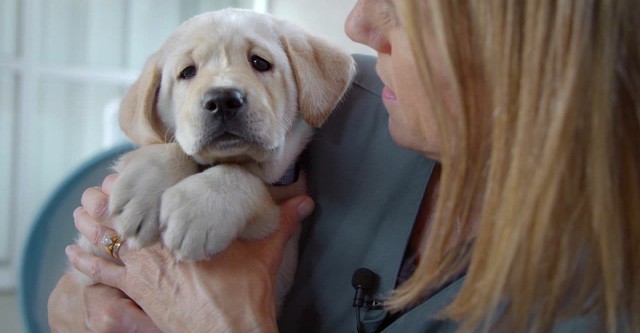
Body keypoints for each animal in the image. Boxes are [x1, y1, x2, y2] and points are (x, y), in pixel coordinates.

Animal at [76, 7, 356, 308]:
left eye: (259, 62)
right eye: (188, 72)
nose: (222, 100)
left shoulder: (278, 240)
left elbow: (239, 174)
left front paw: (200, 211)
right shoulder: (90, 263)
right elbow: (174, 147)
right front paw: (142, 195)